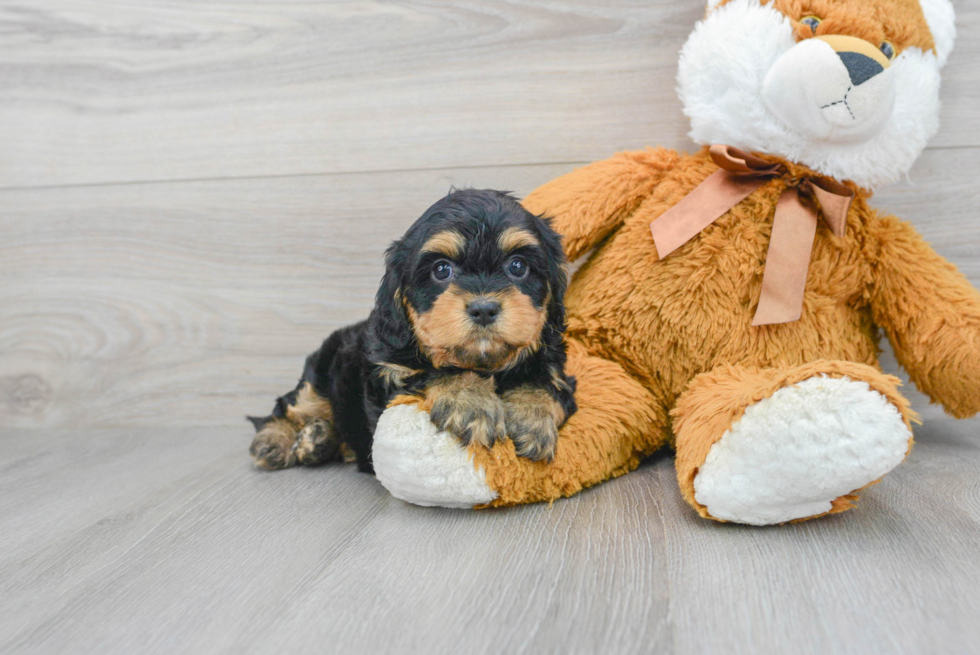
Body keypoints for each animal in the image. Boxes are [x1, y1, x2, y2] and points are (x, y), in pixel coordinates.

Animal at [249, 187, 580, 474]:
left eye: (518, 266)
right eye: (441, 270)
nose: (484, 308)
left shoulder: (558, 371)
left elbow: (547, 384)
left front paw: (531, 417)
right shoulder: (388, 374)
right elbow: (434, 371)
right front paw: (471, 402)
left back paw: (318, 440)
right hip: (320, 373)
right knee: (287, 407)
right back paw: (275, 441)